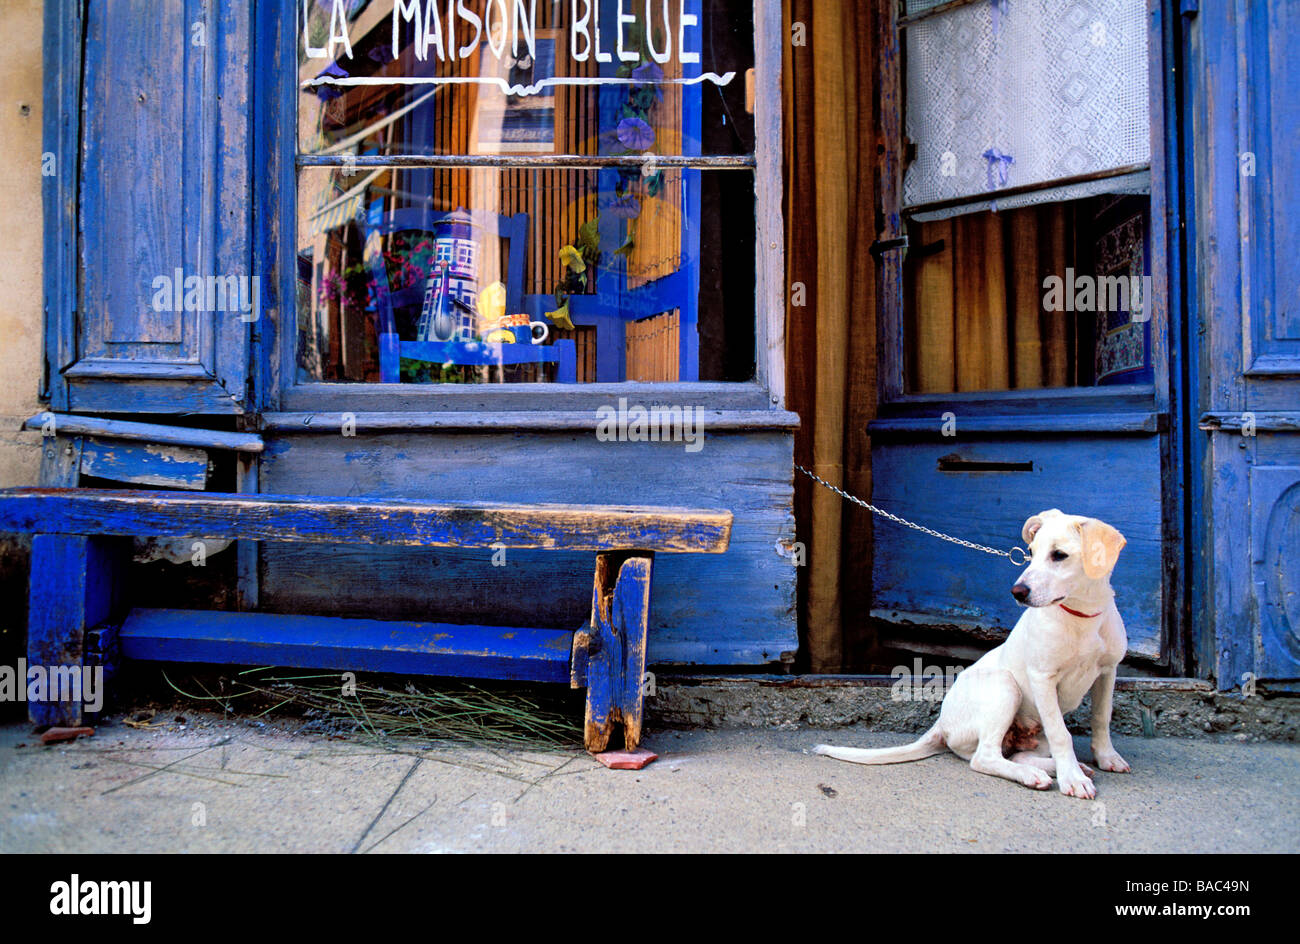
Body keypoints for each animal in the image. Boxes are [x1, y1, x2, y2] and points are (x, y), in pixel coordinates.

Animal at [816, 509, 1133, 800]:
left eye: (1059, 555)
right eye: (1030, 553)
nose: (1017, 592)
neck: (1082, 616)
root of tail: (942, 723)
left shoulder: (1108, 672)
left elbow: (1101, 717)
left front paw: (1106, 758)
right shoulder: (1043, 677)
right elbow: (1062, 734)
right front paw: (1073, 779)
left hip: (1033, 727)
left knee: (1016, 754)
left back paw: (1058, 767)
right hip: (1006, 686)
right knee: (985, 757)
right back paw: (1035, 774)